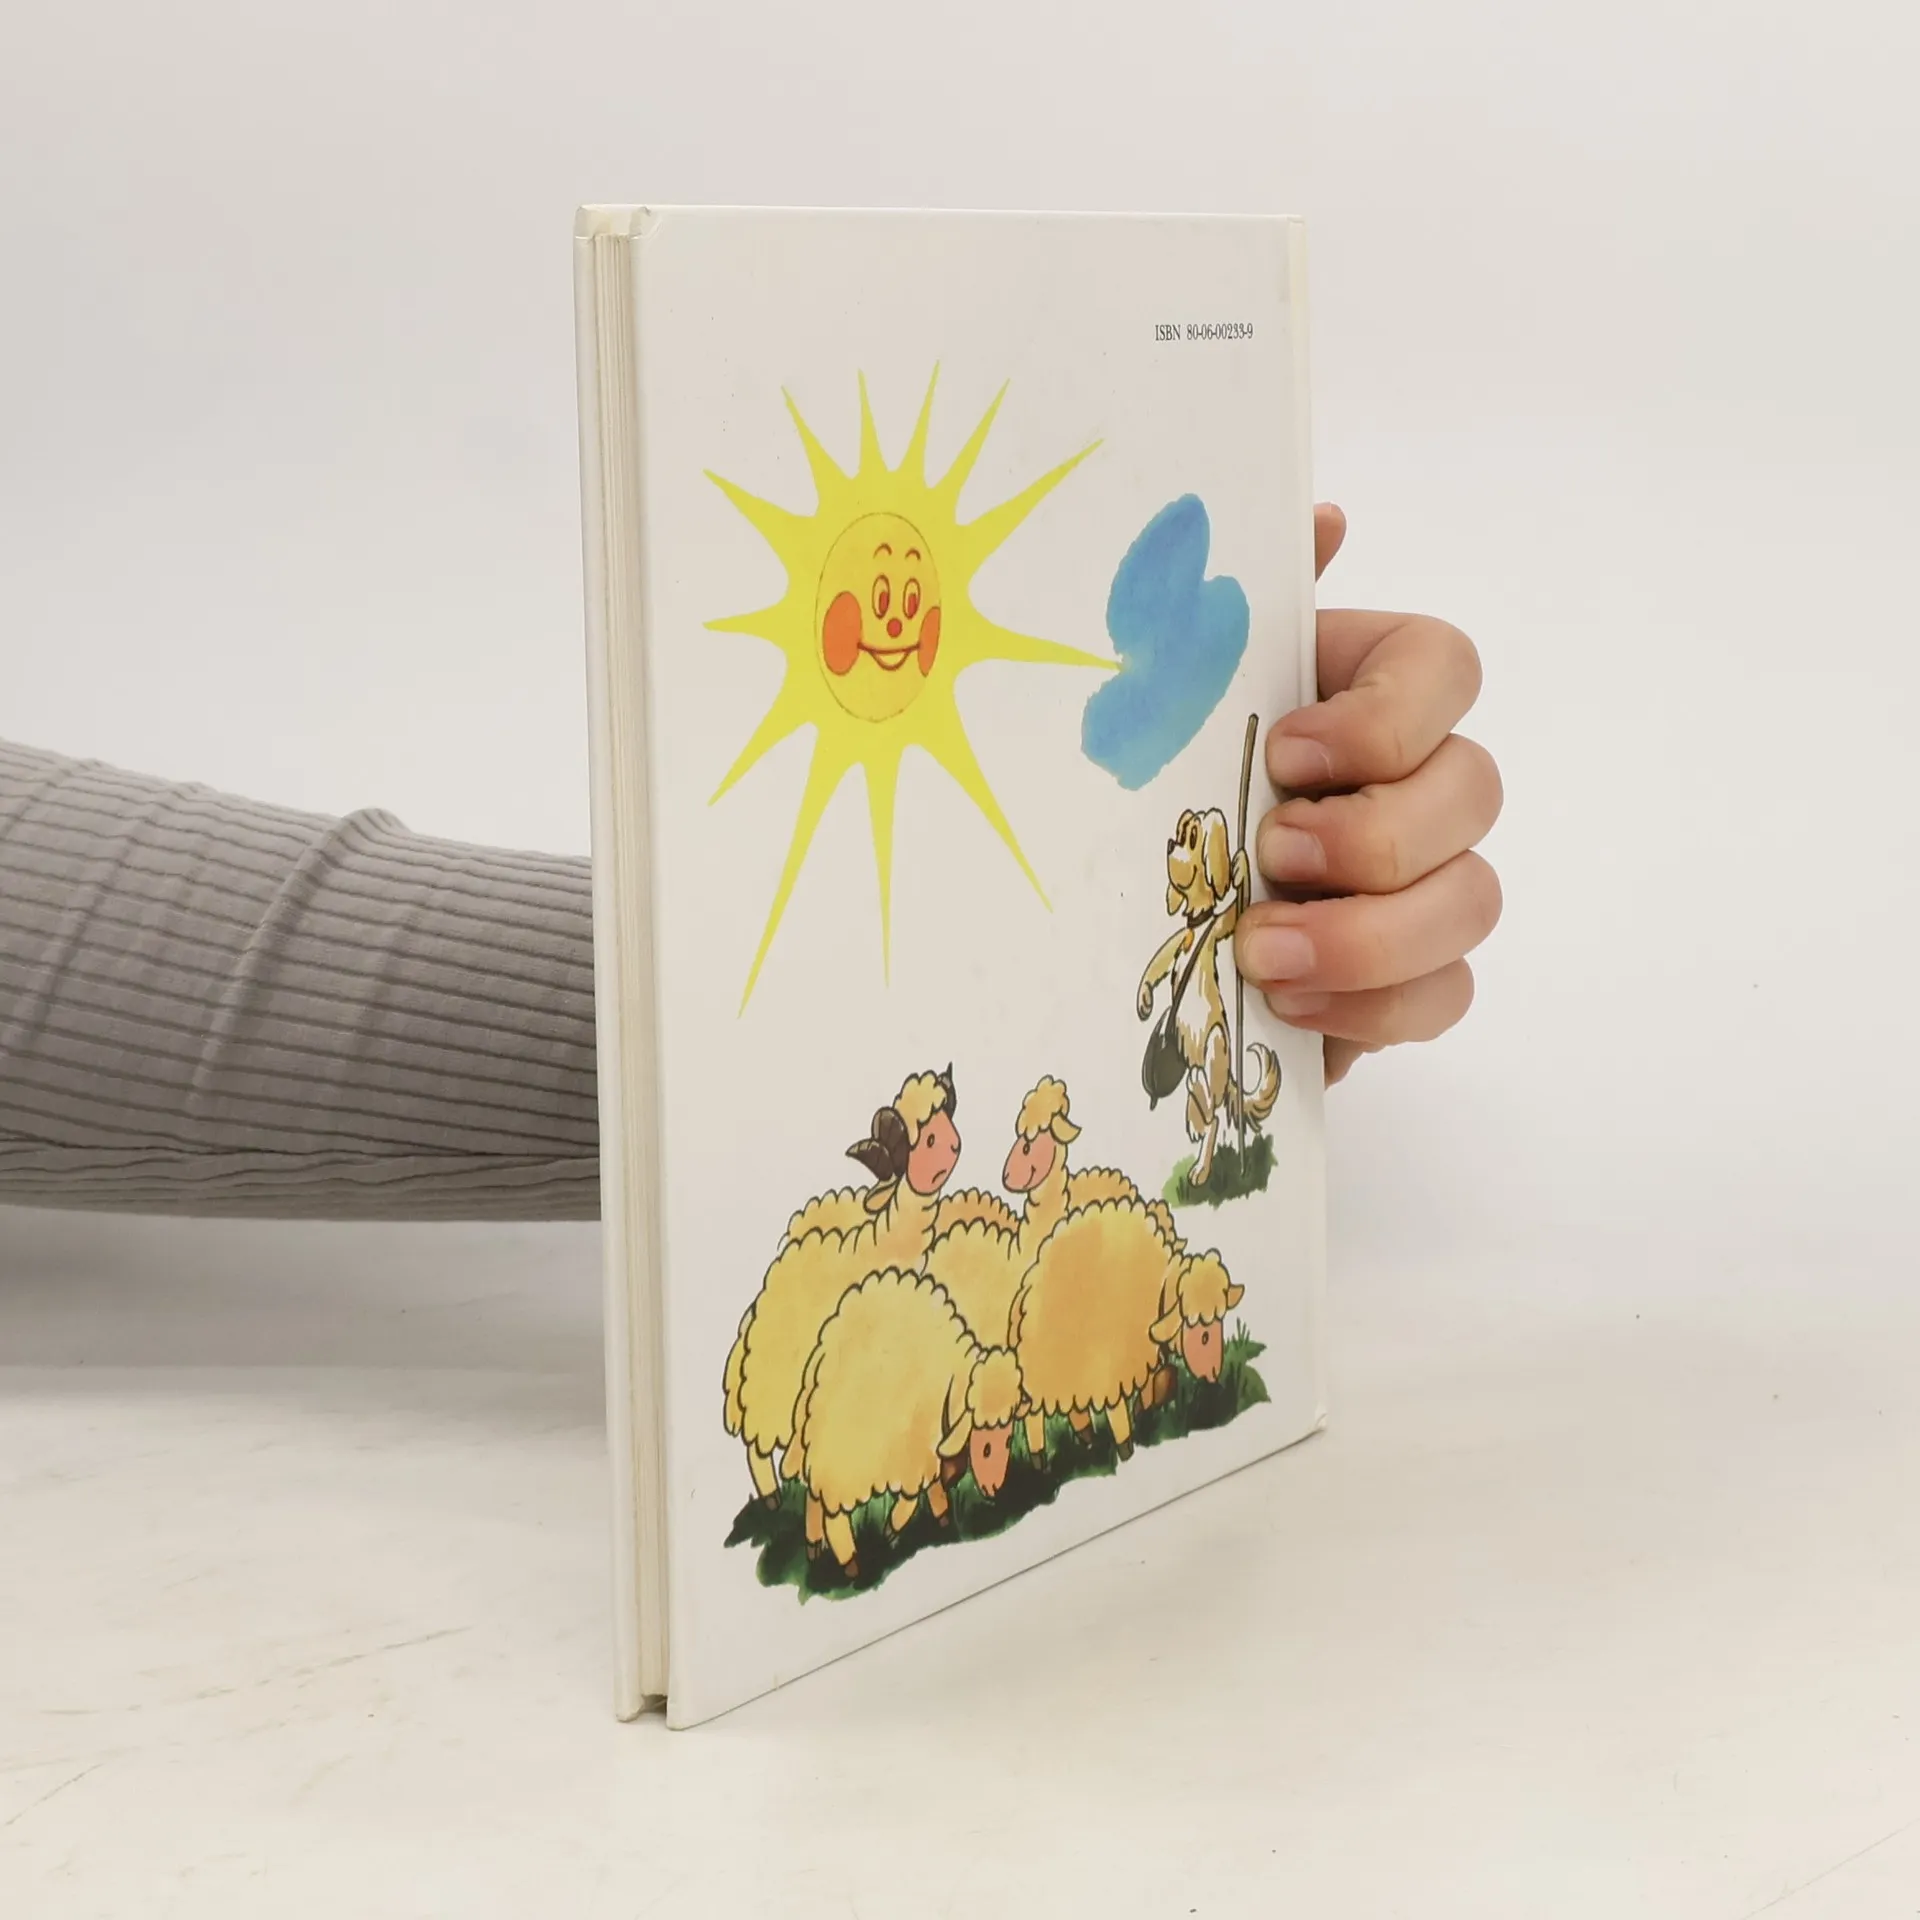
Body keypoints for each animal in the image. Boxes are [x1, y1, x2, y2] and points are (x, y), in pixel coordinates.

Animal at [1136, 806, 1280, 1186]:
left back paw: (1203, 1171)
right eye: (1184, 829)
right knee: (1203, 1117)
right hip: (1194, 1086)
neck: (1197, 923)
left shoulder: (1218, 928)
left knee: (1213, 1118)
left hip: (1213, 1053)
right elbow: (1160, 960)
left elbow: (1234, 915)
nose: (1170, 842)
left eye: (1192, 835)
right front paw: (1144, 996)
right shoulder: (1178, 939)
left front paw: (1241, 866)